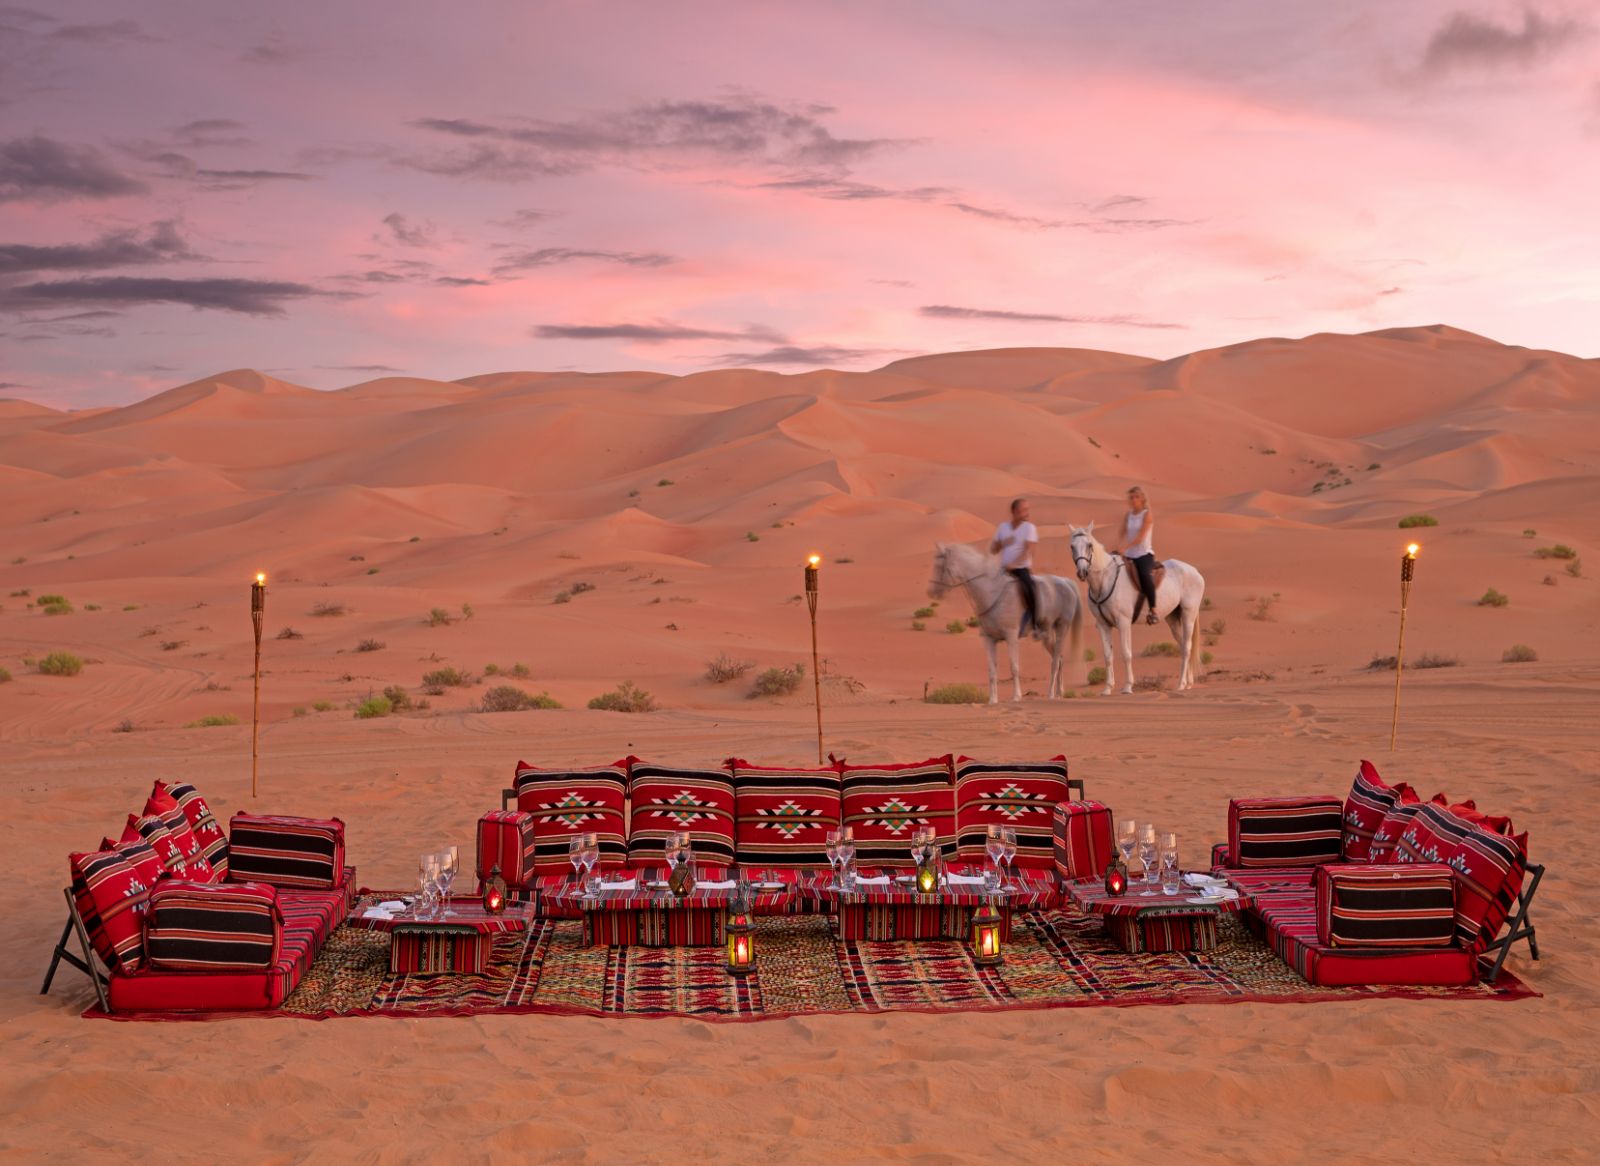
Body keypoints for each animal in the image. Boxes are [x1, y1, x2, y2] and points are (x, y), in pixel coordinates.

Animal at [928, 543, 1088, 700]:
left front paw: (1016, 696)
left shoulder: (1011, 636)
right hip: (1047, 635)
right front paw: (993, 700)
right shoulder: (989, 639)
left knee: (1055, 661)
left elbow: (1014, 667)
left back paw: (1051, 694)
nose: (932, 592)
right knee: (1059, 658)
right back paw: (1060, 692)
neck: (991, 592)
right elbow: (992, 670)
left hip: (1062, 627)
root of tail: (1066, 582)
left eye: (941, 567)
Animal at [1068, 524, 1203, 697]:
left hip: (1188, 614)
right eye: (1072, 546)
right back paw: (1188, 683)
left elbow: (1126, 654)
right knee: (1184, 646)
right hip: (1172, 618)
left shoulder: (1123, 622)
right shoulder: (1103, 625)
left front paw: (1127, 687)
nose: (1082, 572)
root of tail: (1195, 572)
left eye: (1089, 545)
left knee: (1186, 648)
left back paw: (1181, 684)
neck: (1105, 580)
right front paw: (1107, 688)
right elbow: (1108, 656)